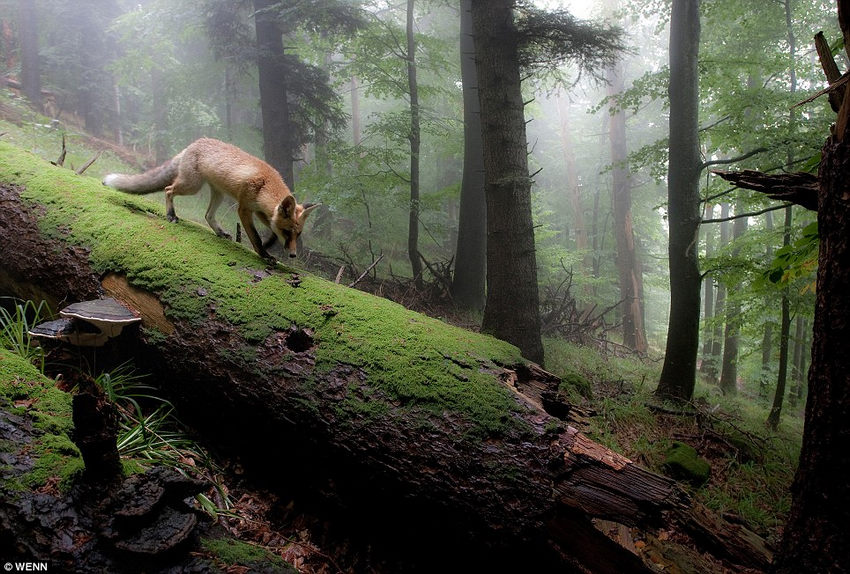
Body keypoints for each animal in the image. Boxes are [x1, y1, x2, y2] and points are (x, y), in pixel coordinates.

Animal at [102, 138, 318, 260]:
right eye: (287, 232)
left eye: (298, 234)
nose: (293, 255)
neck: (264, 185)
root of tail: (192, 144)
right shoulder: (244, 209)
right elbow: (255, 236)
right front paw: (264, 254)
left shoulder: (260, 211)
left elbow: (270, 231)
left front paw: (268, 245)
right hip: (191, 186)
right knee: (168, 189)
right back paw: (171, 215)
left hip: (218, 195)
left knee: (207, 215)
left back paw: (220, 232)